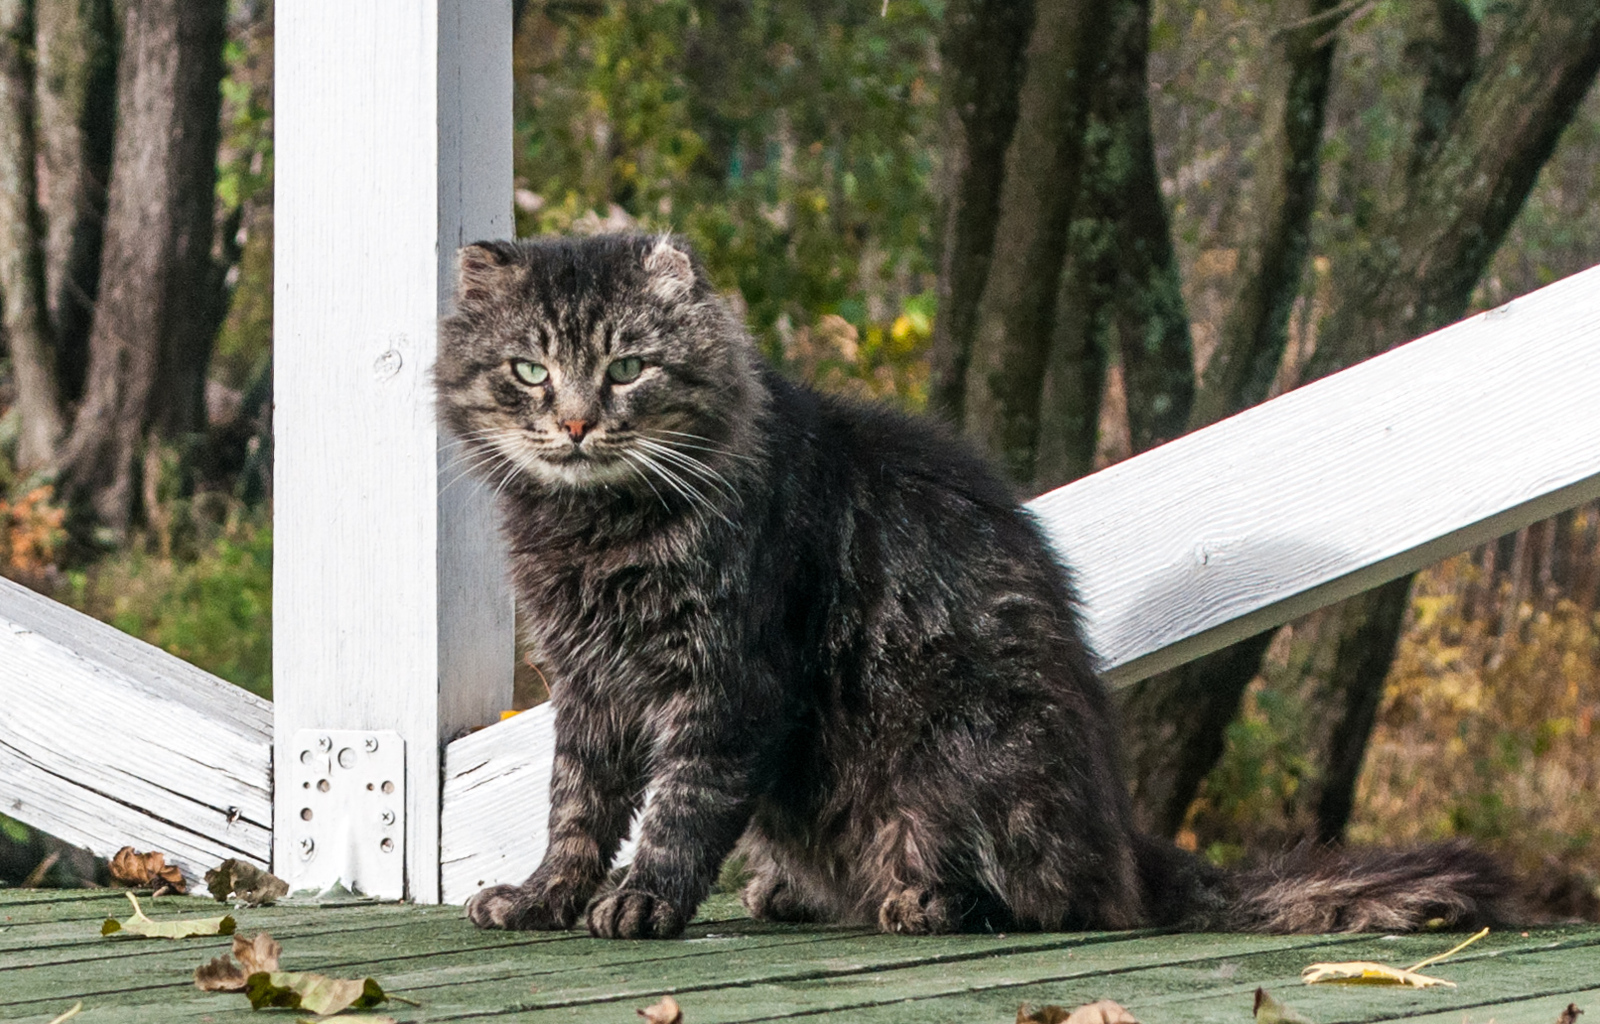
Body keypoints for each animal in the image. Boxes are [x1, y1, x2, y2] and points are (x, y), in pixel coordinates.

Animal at [428, 232, 1510, 934]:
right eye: (529, 369)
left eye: (627, 368)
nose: (573, 424)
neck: (595, 530)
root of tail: (1126, 837)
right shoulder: (590, 685)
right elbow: (576, 807)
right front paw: (544, 896)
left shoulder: (729, 679)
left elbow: (679, 808)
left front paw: (644, 899)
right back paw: (793, 889)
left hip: (951, 755)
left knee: (1052, 898)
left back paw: (926, 902)